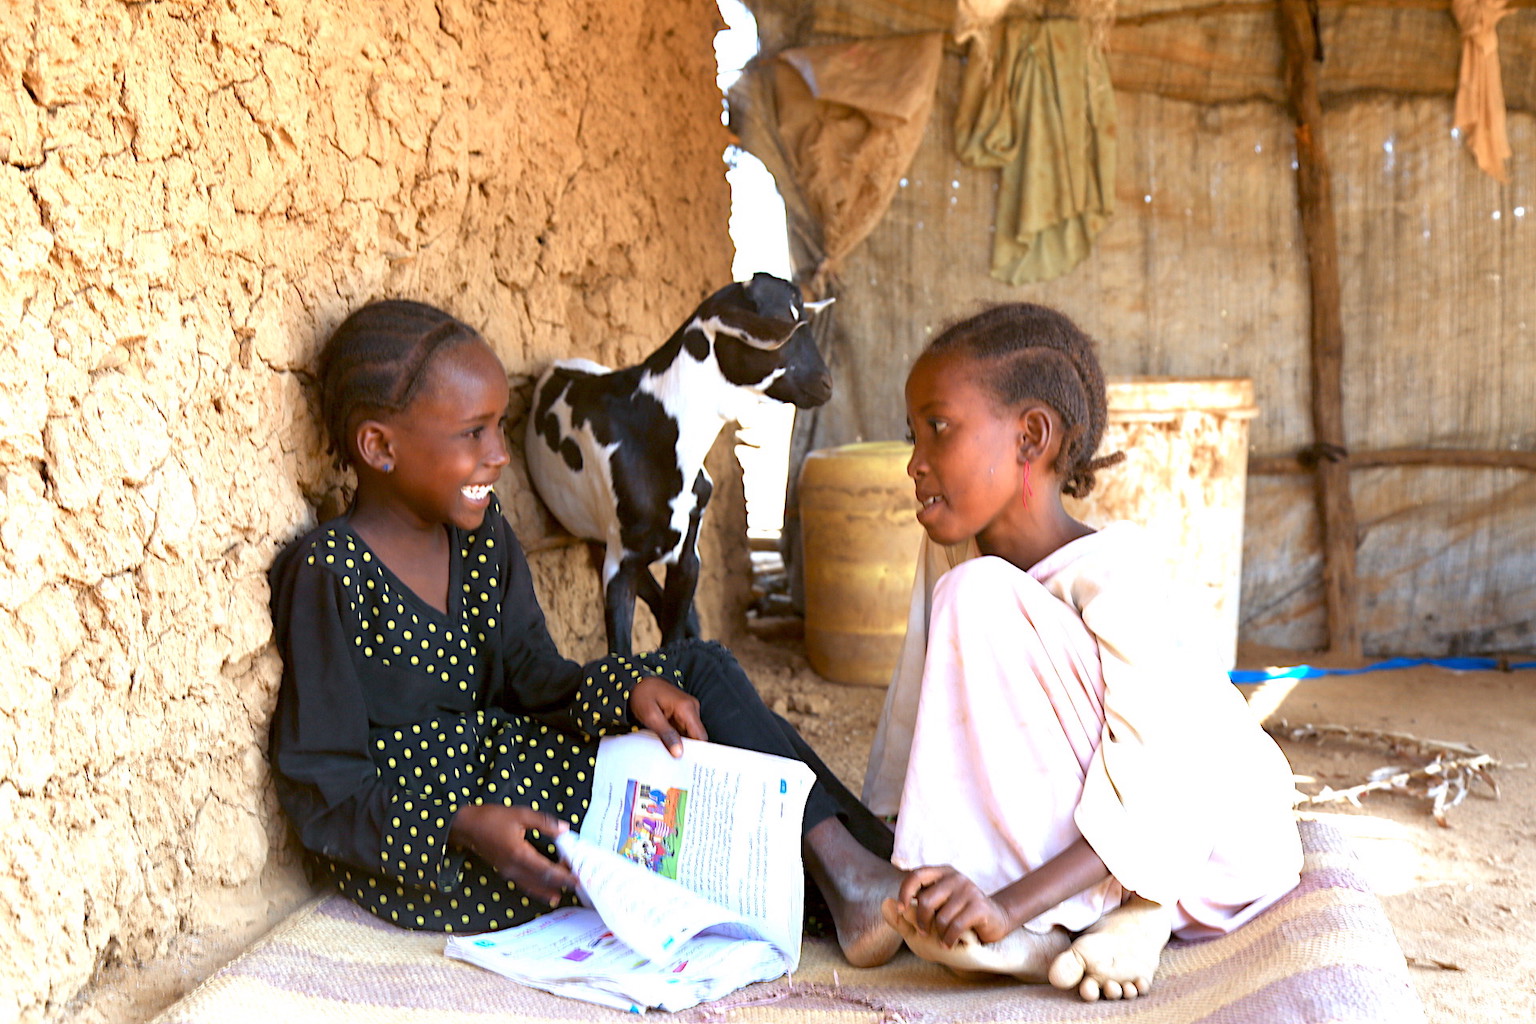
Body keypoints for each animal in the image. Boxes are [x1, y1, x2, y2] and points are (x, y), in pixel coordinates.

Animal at [525, 274, 835, 657]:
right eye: (785, 324)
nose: (826, 384)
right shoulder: (621, 561)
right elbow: (622, 649)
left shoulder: (688, 555)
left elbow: (672, 635)